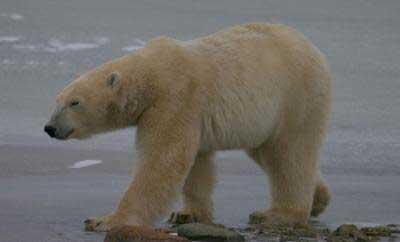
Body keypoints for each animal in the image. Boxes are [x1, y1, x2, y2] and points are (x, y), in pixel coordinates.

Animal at [44, 23, 332, 233]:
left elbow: (162, 160)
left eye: (74, 102)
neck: (152, 73)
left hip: (295, 97)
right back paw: (318, 199)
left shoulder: (175, 99)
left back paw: (277, 214)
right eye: (57, 100)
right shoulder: (187, 113)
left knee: (289, 154)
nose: (49, 128)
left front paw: (105, 220)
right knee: (268, 153)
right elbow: (196, 164)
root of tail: (313, 48)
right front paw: (187, 214)